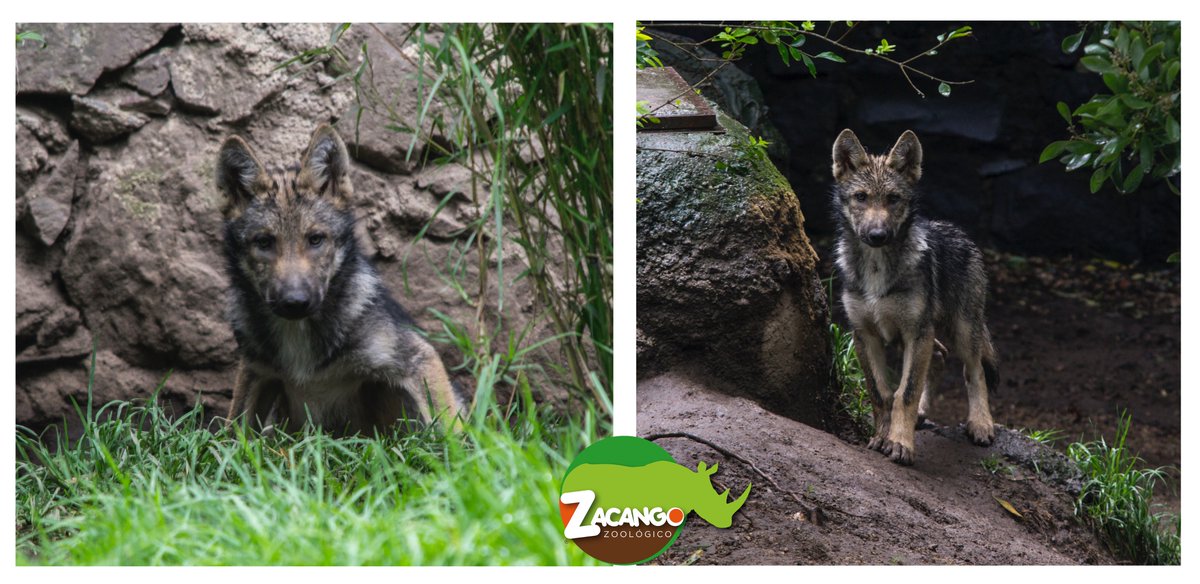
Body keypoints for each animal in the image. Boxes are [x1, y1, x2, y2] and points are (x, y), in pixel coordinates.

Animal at [216, 124, 465, 435]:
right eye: (264, 242)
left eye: (315, 239)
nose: (294, 302)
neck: (298, 335)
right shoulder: (255, 371)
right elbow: (230, 435)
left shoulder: (419, 358)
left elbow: (454, 434)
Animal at [831, 128, 997, 466]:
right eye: (861, 197)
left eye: (893, 198)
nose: (877, 235)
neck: (877, 266)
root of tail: (958, 232)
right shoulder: (863, 334)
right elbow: (881, 393)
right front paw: (881, 436)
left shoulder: (915, 331)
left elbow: (904, 393)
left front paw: (900, 443)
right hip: (926, 335)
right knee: (939, 356)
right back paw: (923, 414)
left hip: (962, 329)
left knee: (973, 371)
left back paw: (981, 424)